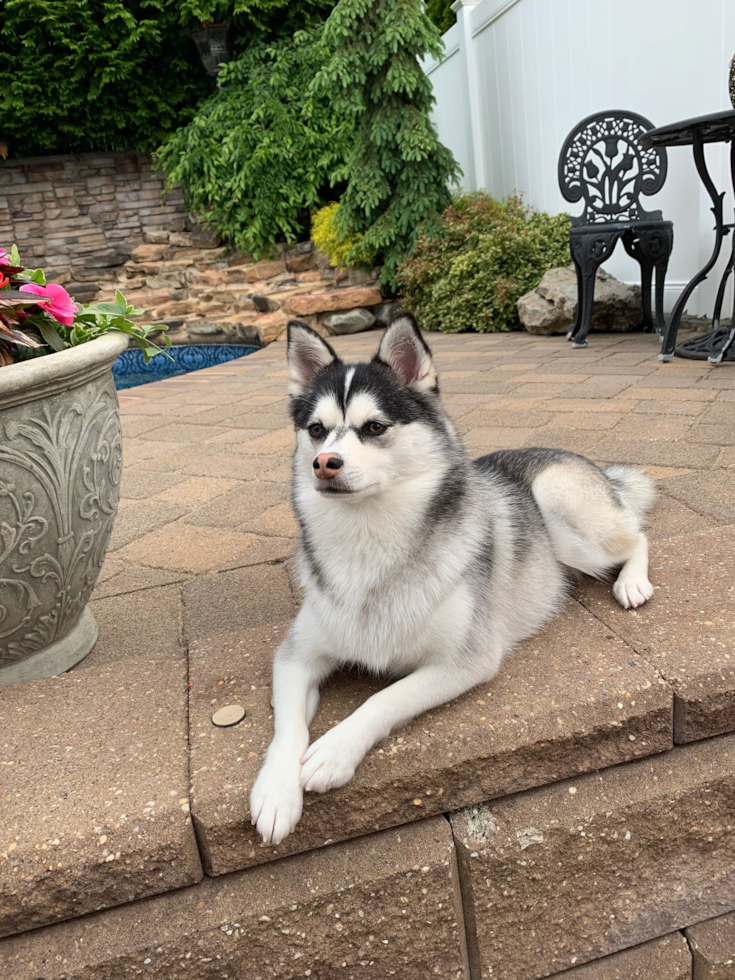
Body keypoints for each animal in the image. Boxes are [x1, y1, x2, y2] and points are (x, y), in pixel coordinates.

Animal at [250, 312, 660, 844]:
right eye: (316, 430)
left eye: (374, 427)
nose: (324, 464)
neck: (369, 539)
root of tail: (583, 460)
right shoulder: (296, 655)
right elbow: (288, 728)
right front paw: (276, 791)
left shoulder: (467, 659)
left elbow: (384, 697)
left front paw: (334, 751)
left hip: (563, 508)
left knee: (637, 536)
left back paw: (631, 582)